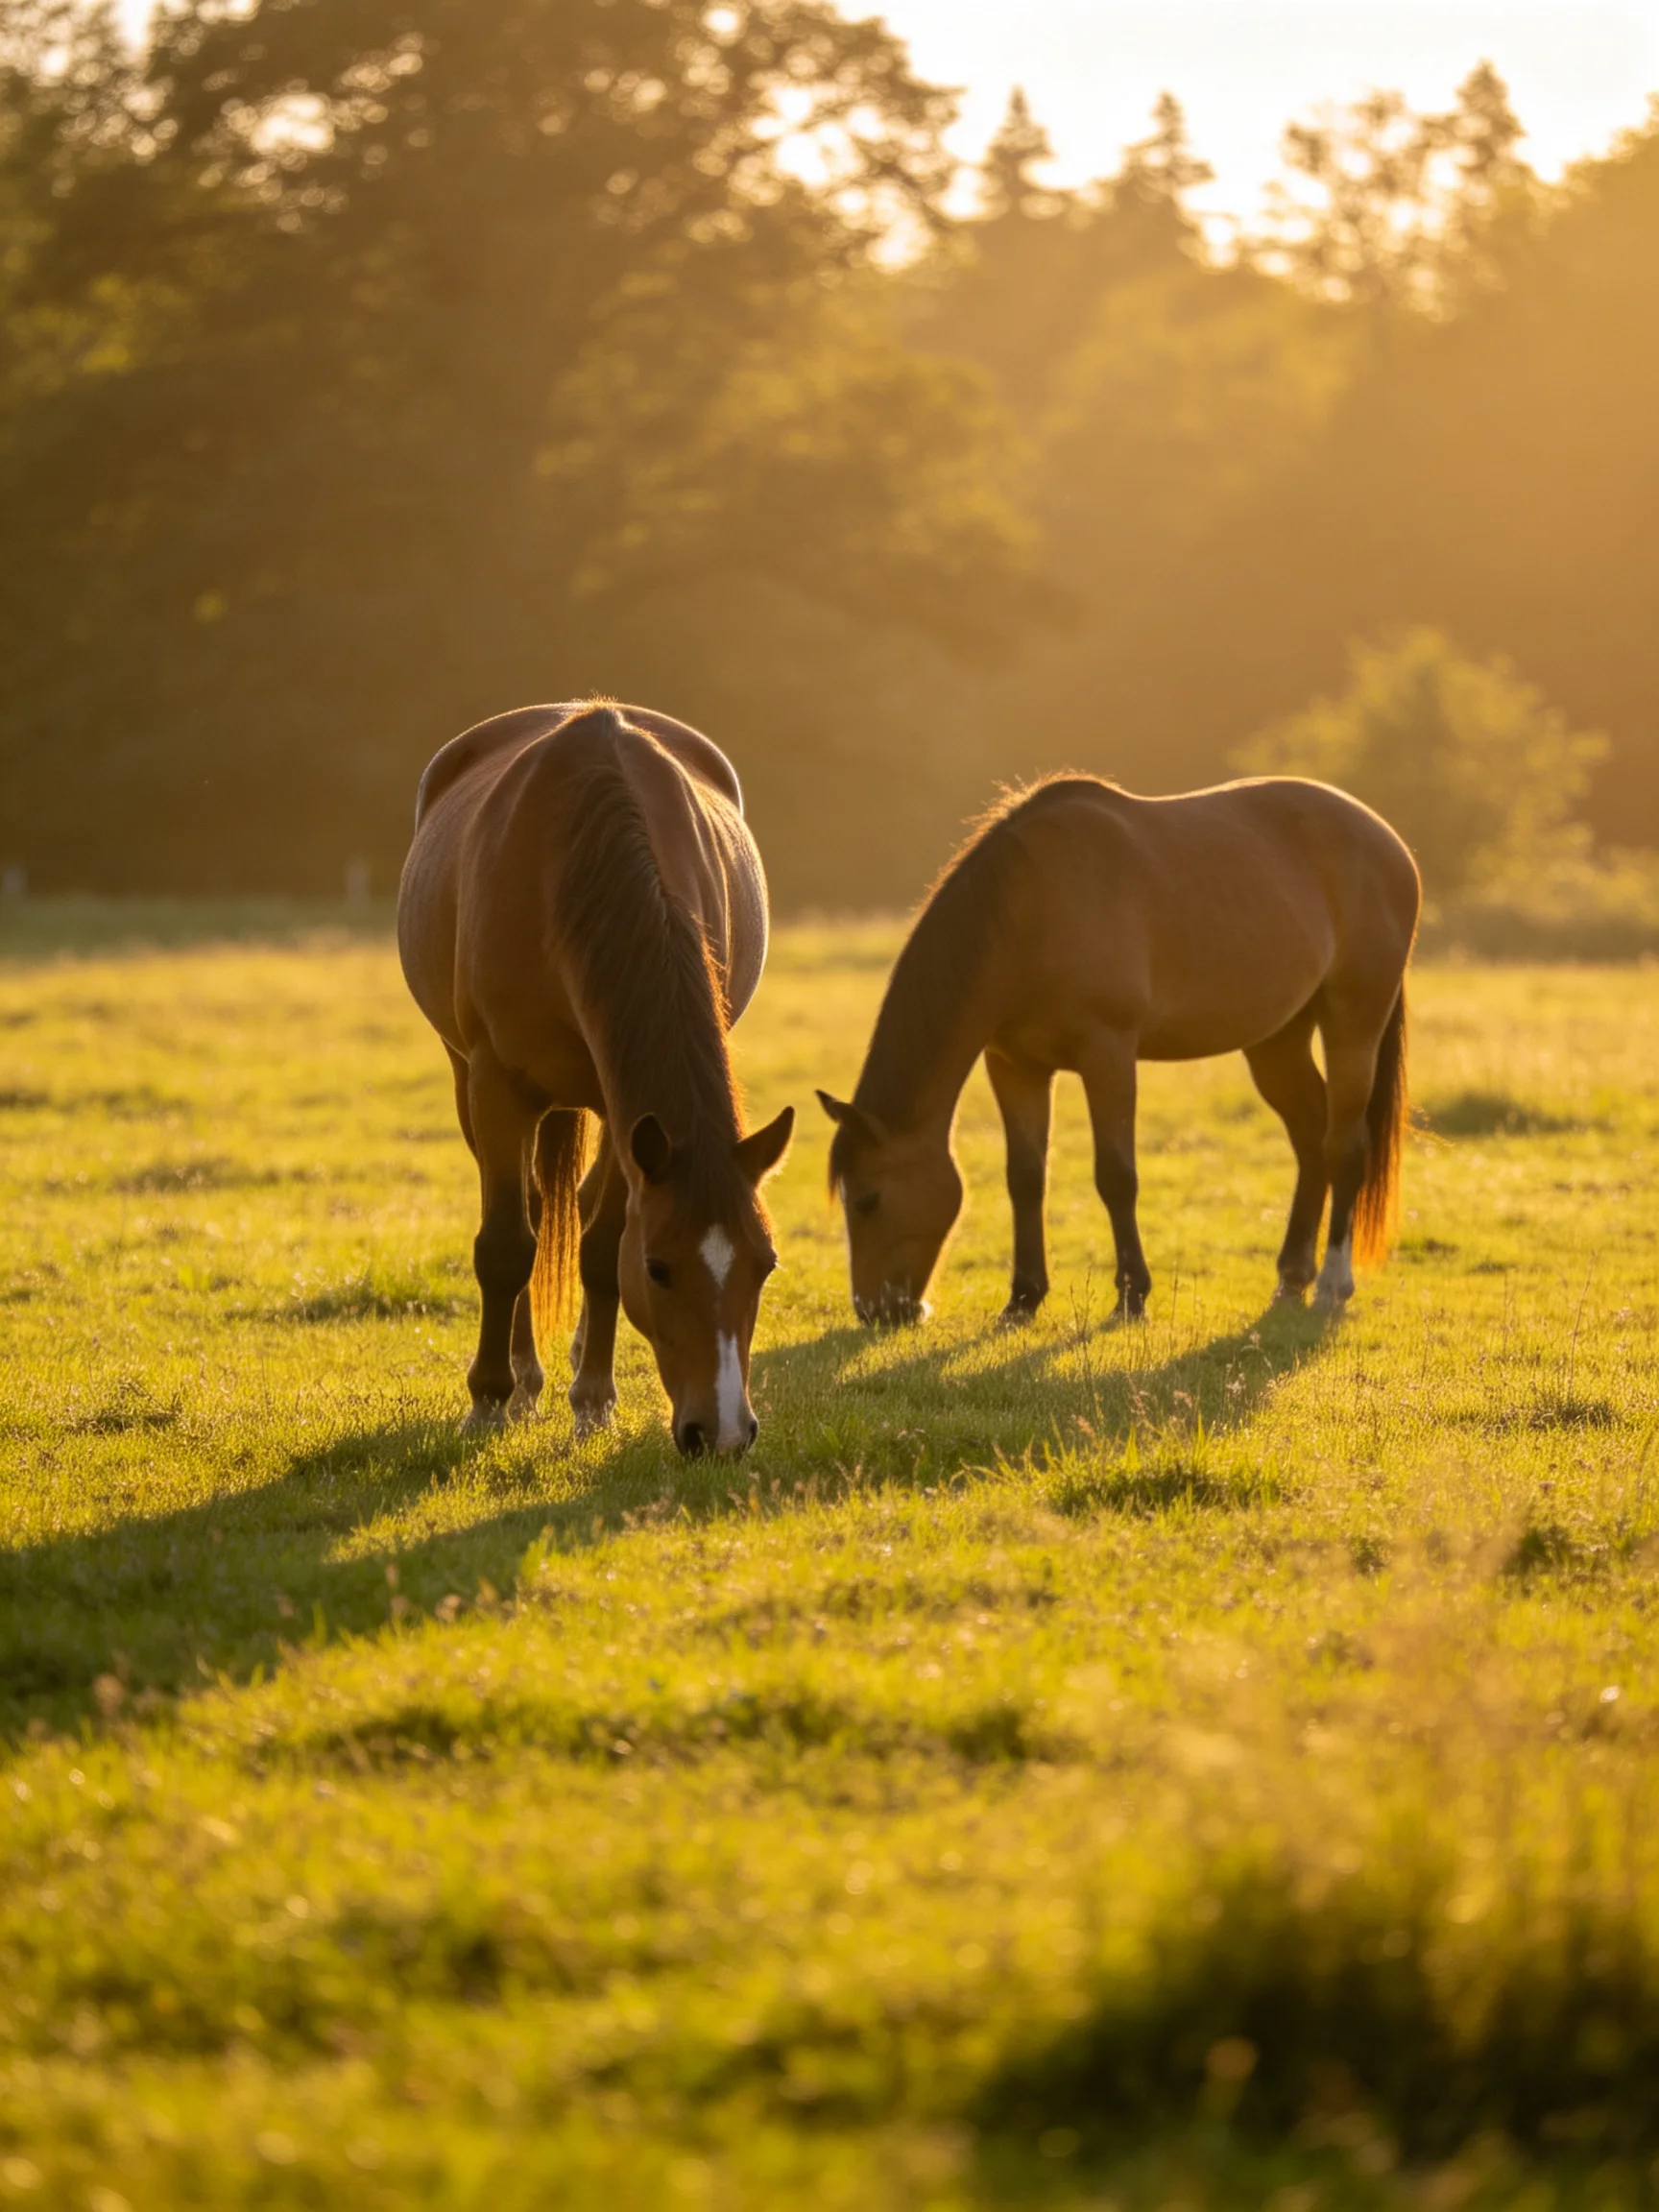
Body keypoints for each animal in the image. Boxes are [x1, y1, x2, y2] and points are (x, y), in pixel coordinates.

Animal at [398, 700, 793, 1455]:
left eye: (765, 1265)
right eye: (660, 1269)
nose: (724, 1433)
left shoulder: (624, 1110)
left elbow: (603, 1247)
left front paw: (594, 1401)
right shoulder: (495, 1085)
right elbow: (506, 1244)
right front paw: (487, 1400)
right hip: (470, 1081)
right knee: (525, 1208)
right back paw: (522, 1380)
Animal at [817, 774, 1420, 1328]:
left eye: (869, 1200)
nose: (876, 1312)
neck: (1032, 910)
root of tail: (1388, 841)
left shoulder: (1107, 1055)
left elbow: (1116, 1176)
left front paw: (1132, 1296)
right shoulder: (1014, 1067)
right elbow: (1025, 1178)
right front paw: (1023, 1299)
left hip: (1353, 1024)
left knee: (1343, 1146)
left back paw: (1333, 1286)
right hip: (1277, 1041)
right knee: (1310, 1139)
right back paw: (1291, 1280)